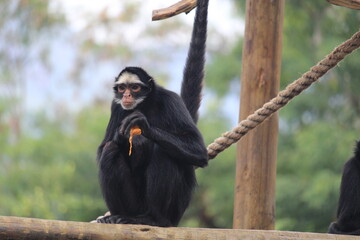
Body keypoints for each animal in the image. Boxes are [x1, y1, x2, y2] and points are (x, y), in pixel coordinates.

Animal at [95, 0, 210, 227]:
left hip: (176, 210)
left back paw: (154, 219)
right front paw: (122, 137)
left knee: (163, 151)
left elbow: (199, 151)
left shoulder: (171, 100)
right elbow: (104, 148)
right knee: (111, 150)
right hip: (134, 204)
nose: (127, 95)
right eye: (122, 88)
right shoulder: (116, 106)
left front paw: (143, 127)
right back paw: (118, 216)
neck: (145, 105)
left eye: (135, 88)